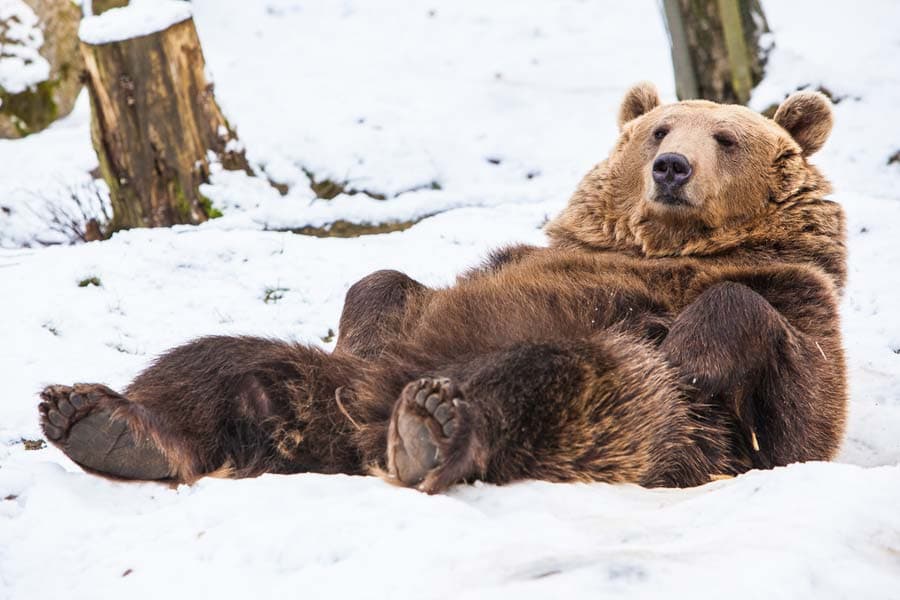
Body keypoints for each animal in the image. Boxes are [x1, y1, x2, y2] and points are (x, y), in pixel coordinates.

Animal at [40, 83, 844, 492]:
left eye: (727, 138)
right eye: (658, 130)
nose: (672, 168)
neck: (661, 244)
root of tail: (360, 438)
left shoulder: (791, 293)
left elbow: (797, 404)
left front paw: (697, 349)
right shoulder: (533, 259)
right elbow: (389, 286)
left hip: (631, 402)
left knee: (557, 379)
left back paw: (434, 424)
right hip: (329, 383)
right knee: (218, 362)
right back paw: (102, 421)